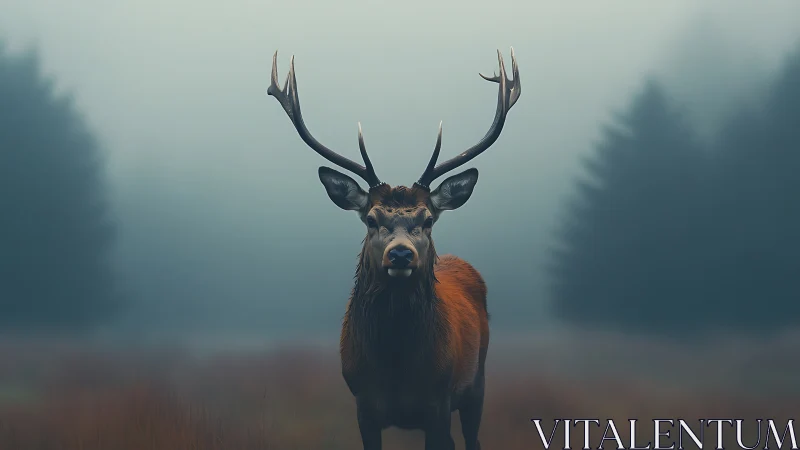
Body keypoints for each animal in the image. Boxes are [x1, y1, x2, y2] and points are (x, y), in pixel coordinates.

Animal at [266, 48, 520, 450]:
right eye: (371, 219)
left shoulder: (438, 402)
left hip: (476, 384)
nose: (401, 254)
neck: (397, 368)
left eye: (428, 219)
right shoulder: (363, 404)